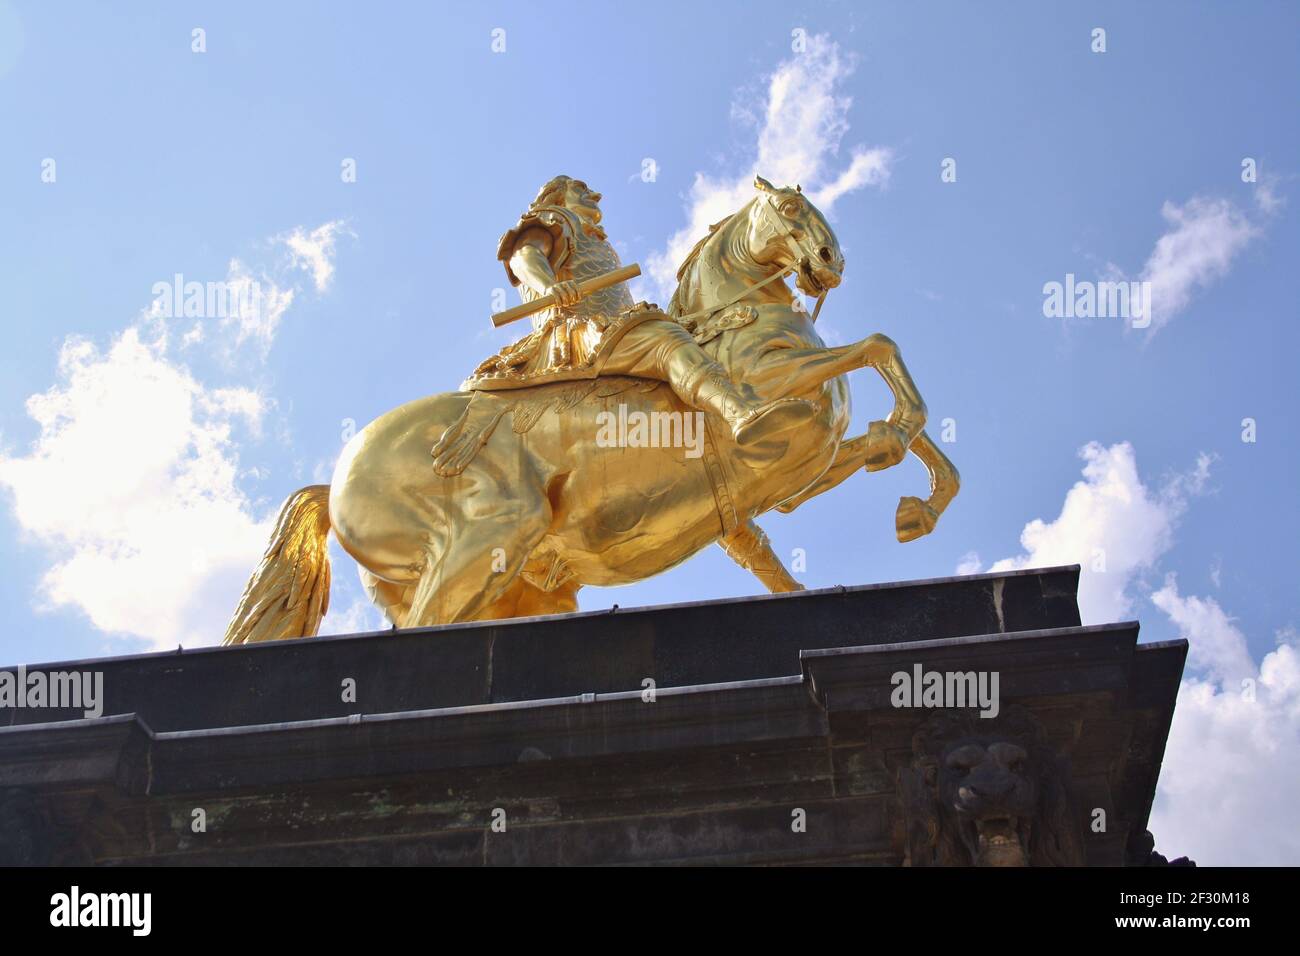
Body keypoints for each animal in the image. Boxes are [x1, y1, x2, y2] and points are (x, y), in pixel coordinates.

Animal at [220, 176, 956, 647]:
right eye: (787, 208)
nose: (831, 261)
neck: (738, 318)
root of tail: (338, 476)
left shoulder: (807, 468)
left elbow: (889, 440)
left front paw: (913, 499)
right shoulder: (777, 387)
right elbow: (878, 345)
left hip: (496, 587)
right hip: (486, 538)